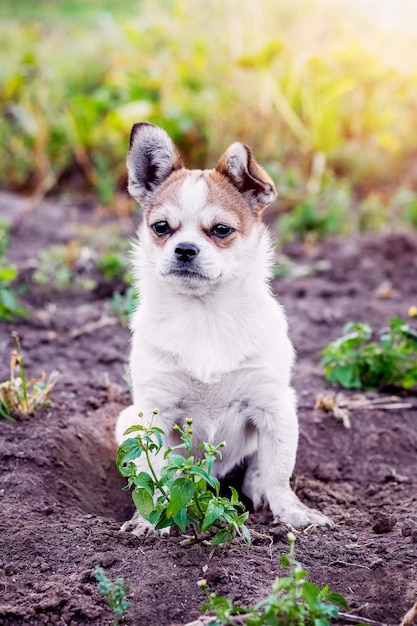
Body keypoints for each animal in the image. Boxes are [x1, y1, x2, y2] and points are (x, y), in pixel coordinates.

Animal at [115, 122, 334, 532]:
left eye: (220, 230)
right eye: (161, 228)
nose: (185, 249)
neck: (205, 314)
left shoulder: (274, 408)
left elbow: (279, 472)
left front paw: (292, 512)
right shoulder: (154, 414)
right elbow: (153, 475)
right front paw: (149, 520)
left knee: (258, 470)